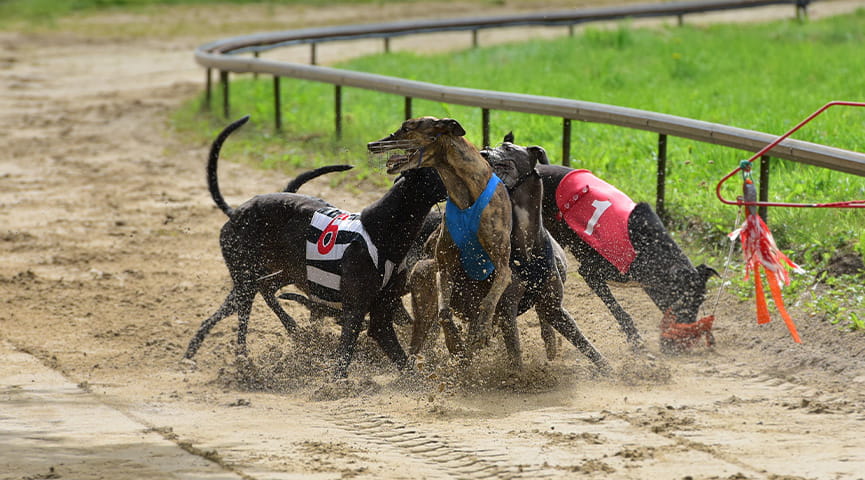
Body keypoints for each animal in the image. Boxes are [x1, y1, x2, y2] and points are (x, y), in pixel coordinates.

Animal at [187, 114, 446, 376]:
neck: (383, 227)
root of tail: (235, 213)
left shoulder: (383, 309)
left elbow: (398, 352)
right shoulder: (357, 309)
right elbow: (346, 352)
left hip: (280, 273)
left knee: (258, 294)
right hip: (245, 280)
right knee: (244, 318)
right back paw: (244, 359)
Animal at [486, 132, 716, 352]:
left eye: (700, 301)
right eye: (683, 300)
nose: (679, 345)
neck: (645, 245)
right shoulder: (591, 272)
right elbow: (619, 311)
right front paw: (636, 341)